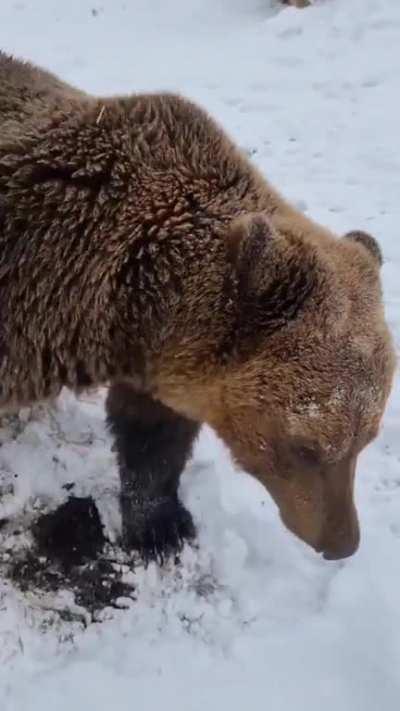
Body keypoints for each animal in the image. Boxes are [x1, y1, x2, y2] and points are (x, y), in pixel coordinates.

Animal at [0, 51, 396, 563]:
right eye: (305, 447)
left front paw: (161, 526)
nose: (341, 543)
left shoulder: (159, 360)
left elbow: (154, 438)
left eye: (365, 438)